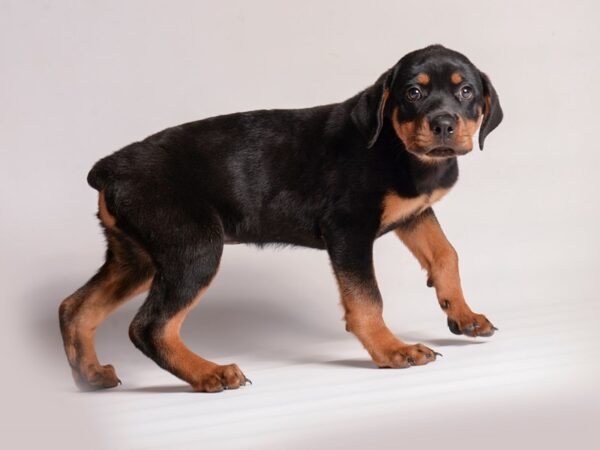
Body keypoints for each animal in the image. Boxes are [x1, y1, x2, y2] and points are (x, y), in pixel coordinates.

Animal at [59, 44, 502, 392]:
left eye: (466, 91)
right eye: (413, 92)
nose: (443, 125)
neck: (396, 147)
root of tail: (109, 168)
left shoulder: (414, 213)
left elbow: (446, 253)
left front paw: (463, 315)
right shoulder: (348, 230)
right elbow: (366, 298)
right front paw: (392, 350)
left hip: (139, 256)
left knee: (75, 308)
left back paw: (91, 375)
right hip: (193, 248)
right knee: (149, 326)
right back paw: (209, 374)